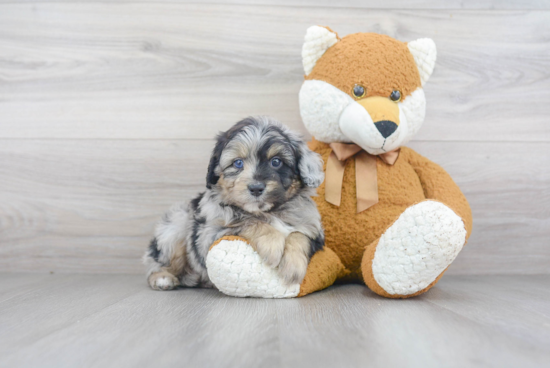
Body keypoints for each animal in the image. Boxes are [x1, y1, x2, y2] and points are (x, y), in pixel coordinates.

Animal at [144, 116, 328, 292]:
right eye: (238, 163)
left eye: (276, 162)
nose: (256, 188)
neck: (268, 212)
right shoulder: (209, 234)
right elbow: (248, 221)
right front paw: (273, 245)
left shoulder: (314, 230)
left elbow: (299, 235)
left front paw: (293, 267)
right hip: (175, 227)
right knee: (157, 263)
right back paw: (163, 279)